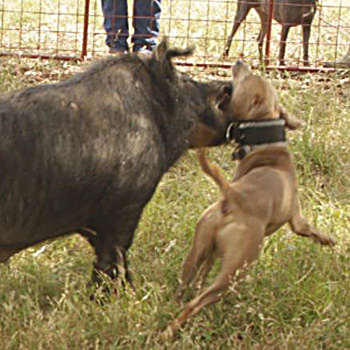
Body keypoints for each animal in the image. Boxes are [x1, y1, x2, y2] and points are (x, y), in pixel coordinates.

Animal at [165, 61, 336, 338]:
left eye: (245, 78)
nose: (239, 62)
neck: (268, 148)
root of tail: (234, 197)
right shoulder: (296, 218)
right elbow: (309, 229)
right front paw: (328, 240)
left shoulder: (211, 251)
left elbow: (205, 270)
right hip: (235, 271)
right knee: (196, 303)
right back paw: (171, 330)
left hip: (196, 251)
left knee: (185, 289)